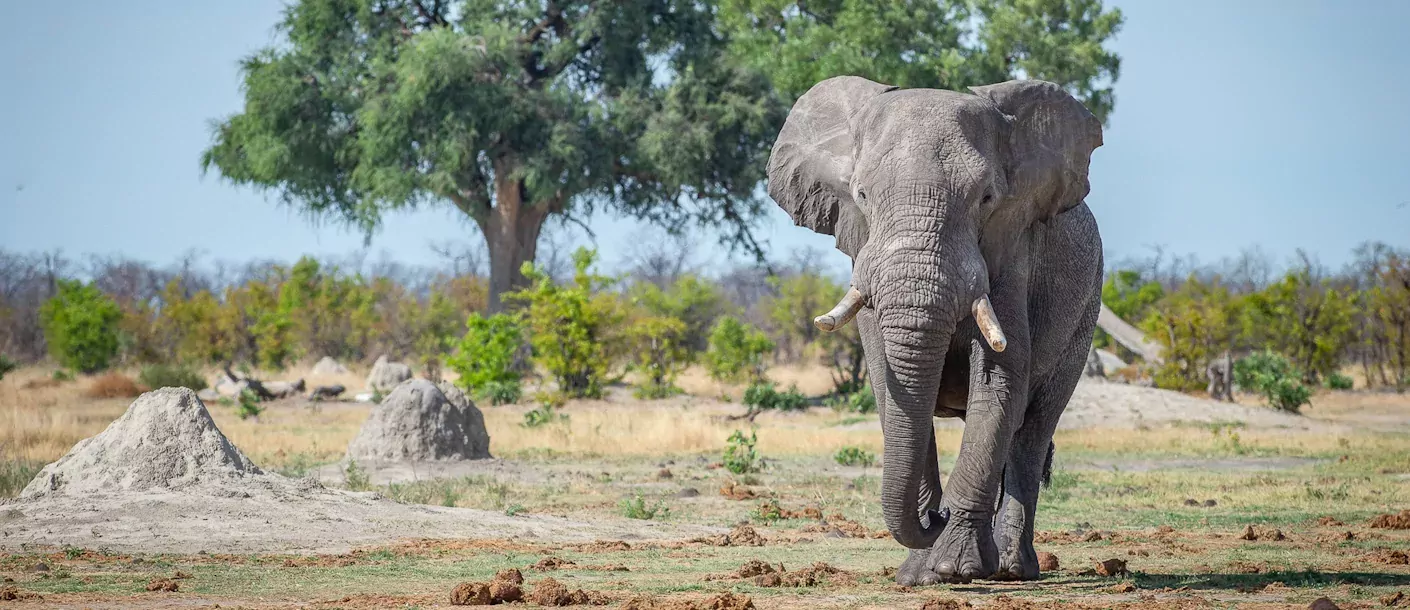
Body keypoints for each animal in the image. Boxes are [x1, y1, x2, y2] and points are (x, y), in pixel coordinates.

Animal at [767, 78, 1105, 583]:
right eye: (861, 195)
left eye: (987, 198)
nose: (936, 517)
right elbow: (892, 391)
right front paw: (918, 575)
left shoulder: (1012, 252)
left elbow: (999, 380)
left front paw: (956, 568)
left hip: (1086, 312)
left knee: (1033, 430)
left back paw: (1011, 568)